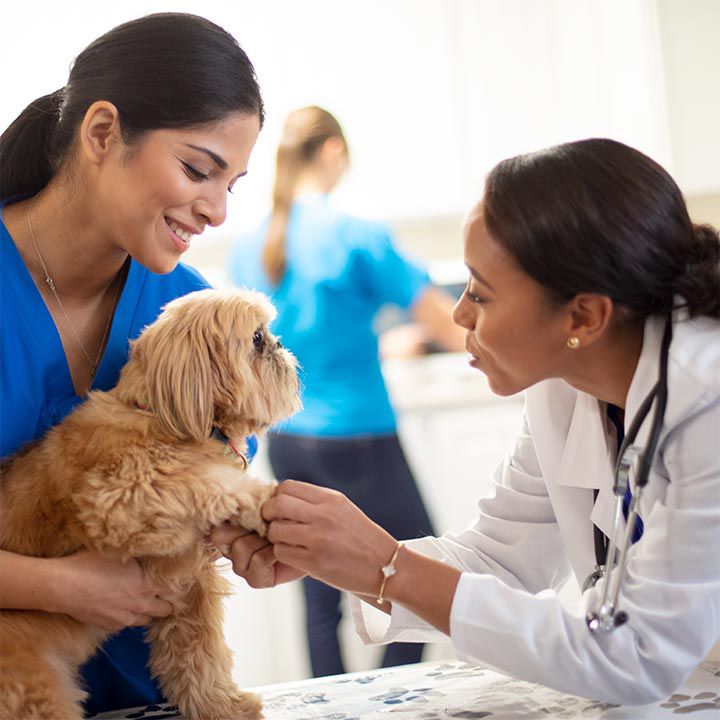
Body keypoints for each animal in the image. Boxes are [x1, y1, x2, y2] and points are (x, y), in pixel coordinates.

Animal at [0, 288, 300, 720]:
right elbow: (202, 482)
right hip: (33, 685)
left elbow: (198, 657)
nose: (279, 344)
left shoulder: (188, 591)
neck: (159, 416)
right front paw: (257, 497)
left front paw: (222, 706)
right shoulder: (120, 498)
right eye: (257, 338)